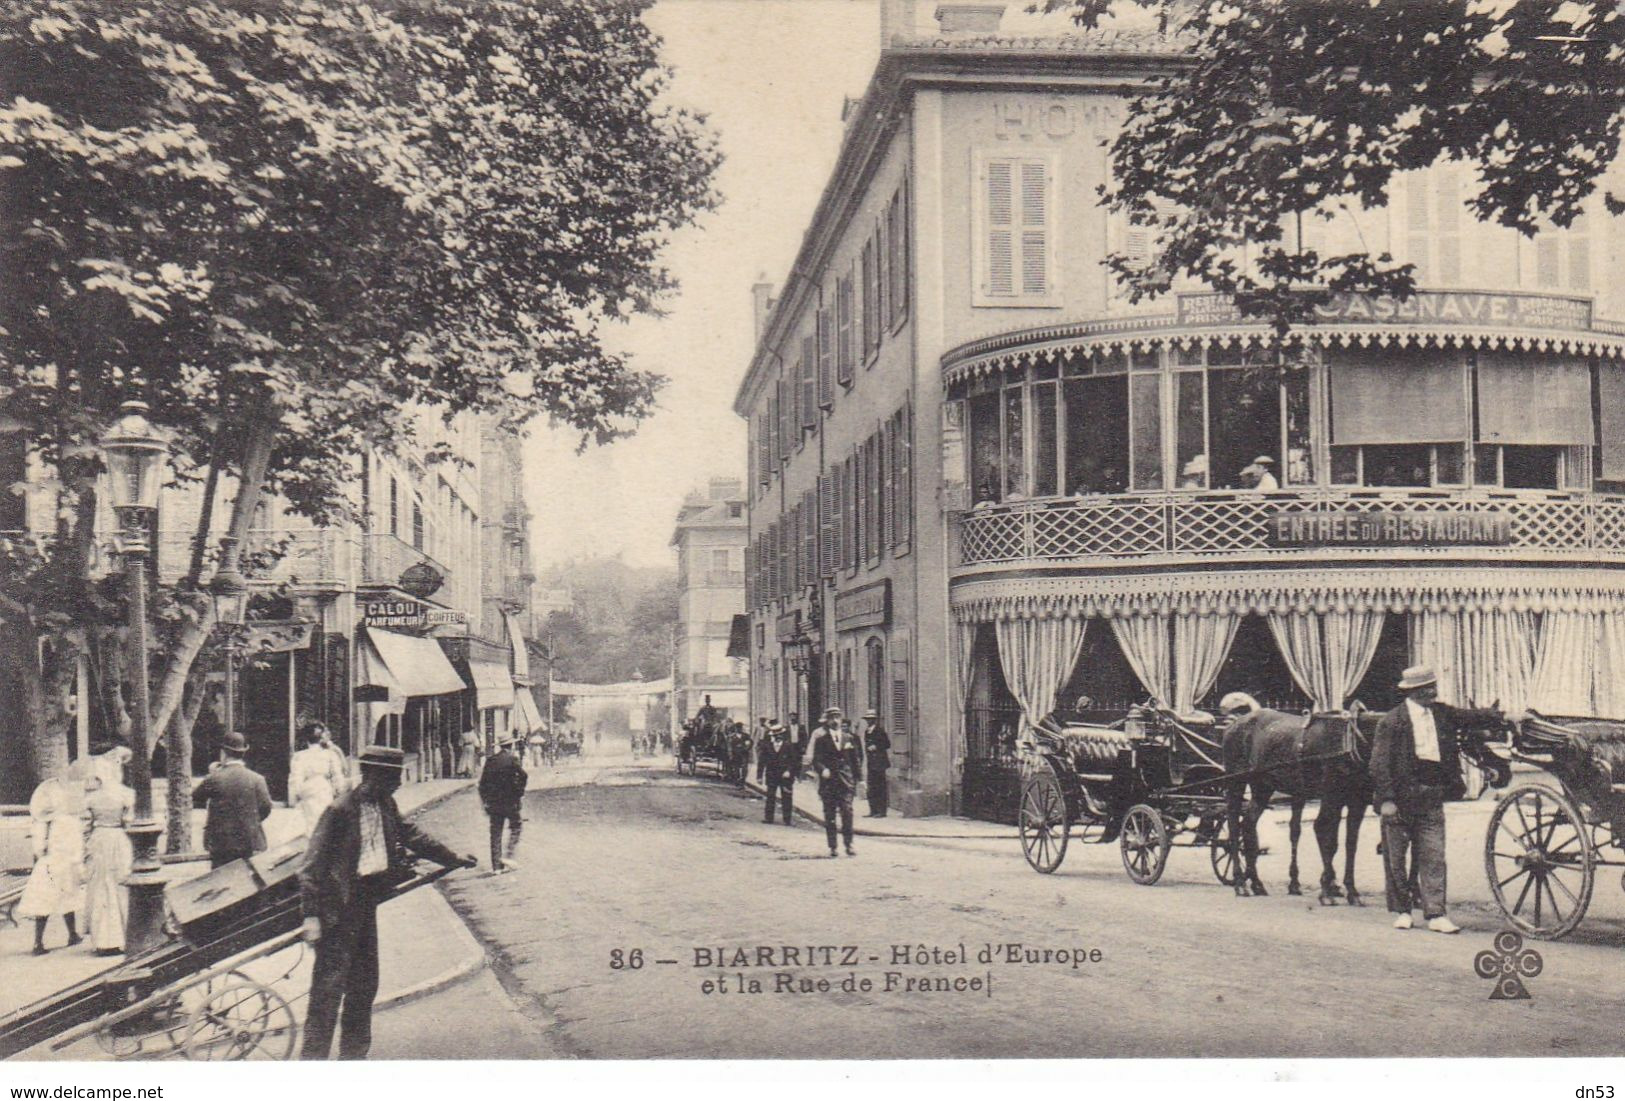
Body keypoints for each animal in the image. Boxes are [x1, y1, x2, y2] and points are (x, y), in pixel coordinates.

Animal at [1222, 701, 1508, 902]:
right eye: (1472, 737)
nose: (1504, 772)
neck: (1358, 741)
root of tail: (1233, 724)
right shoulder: (1334, 796)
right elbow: (1329, 836)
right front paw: (1329, 888)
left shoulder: (1357, 801)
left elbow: (1353, 843)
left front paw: (1352, 889)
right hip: (1236, 784)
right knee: (1234, 824)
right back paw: (1239, 881)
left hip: (1264, 788)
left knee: (1249, 826)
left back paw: (1257, 882)